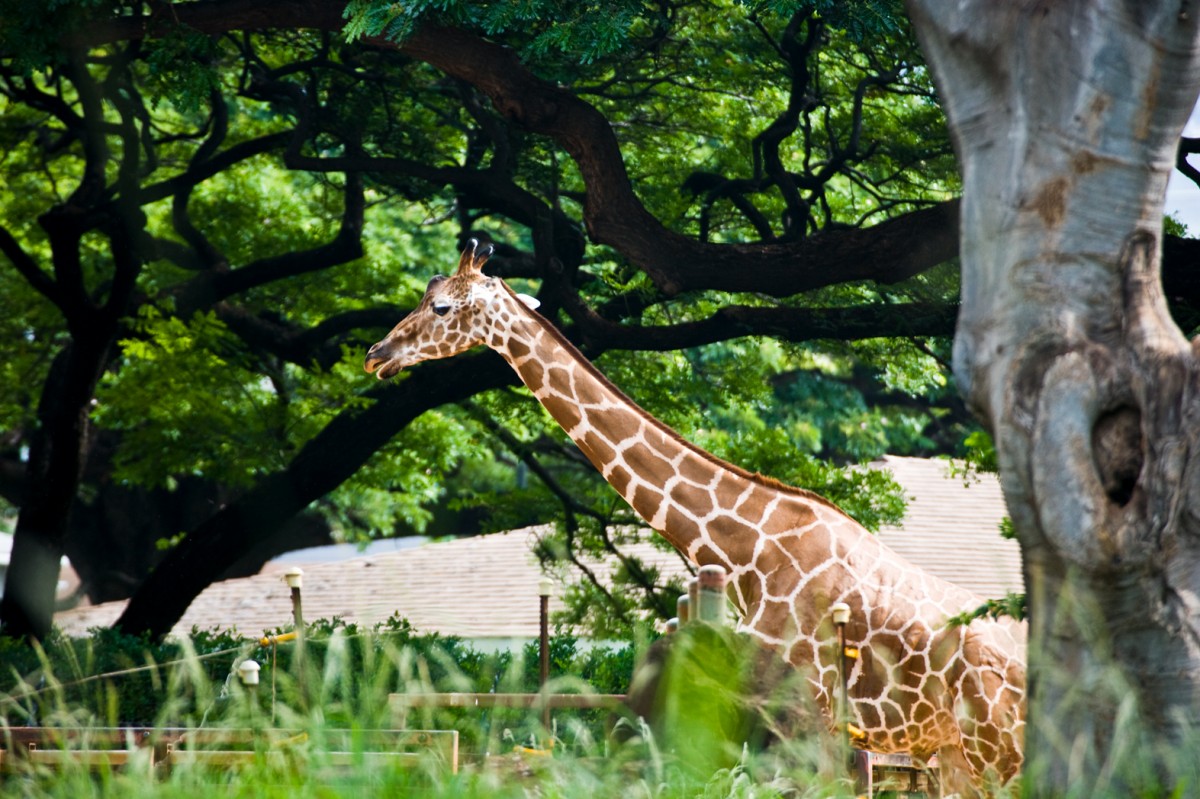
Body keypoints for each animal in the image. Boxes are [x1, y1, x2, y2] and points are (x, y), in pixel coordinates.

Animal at [362, 239, 1022, 787]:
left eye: (441, 306)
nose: (376, 354)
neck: (746, 549)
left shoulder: (805, 711)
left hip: (995, 751)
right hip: (955, 753)